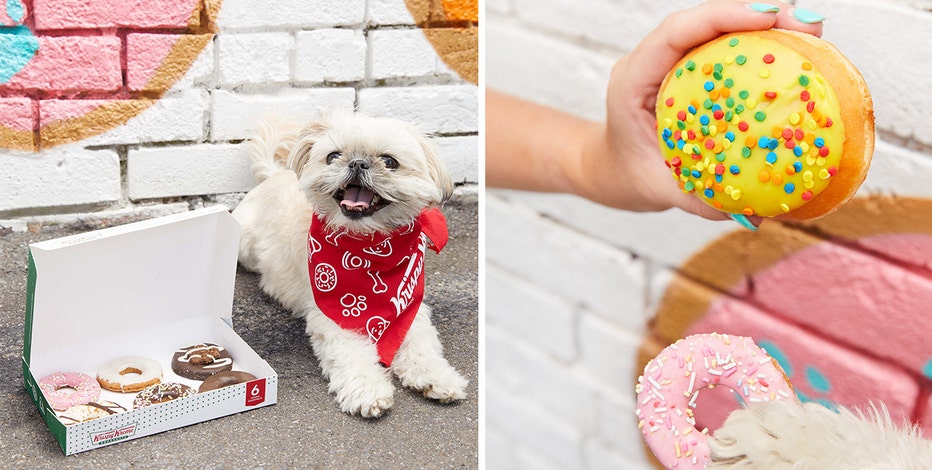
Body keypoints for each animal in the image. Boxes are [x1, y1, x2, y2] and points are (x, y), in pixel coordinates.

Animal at [230, 111, 470, 418]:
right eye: (333, 156)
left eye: (390, 162)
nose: (357, 162)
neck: (369, 247)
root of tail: (274, 175)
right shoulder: (336, 316)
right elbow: (352, 355)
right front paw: (368, 391)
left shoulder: (409, 307)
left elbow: (422, 346)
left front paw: (437, 377)